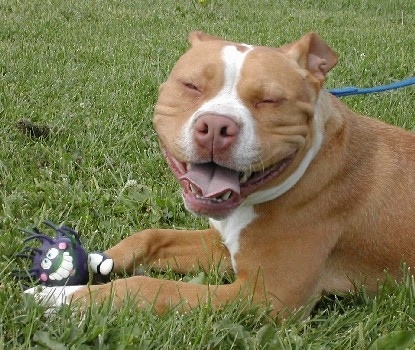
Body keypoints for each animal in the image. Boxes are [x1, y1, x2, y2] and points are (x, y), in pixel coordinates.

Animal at [26, 31, 415, 318]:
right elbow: (153, 235)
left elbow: (154, 287)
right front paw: (99, 261)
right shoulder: (224, 244)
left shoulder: (265, 297)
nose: (215, 126)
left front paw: (63, 297)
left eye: (270, 100)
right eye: (191, 86)